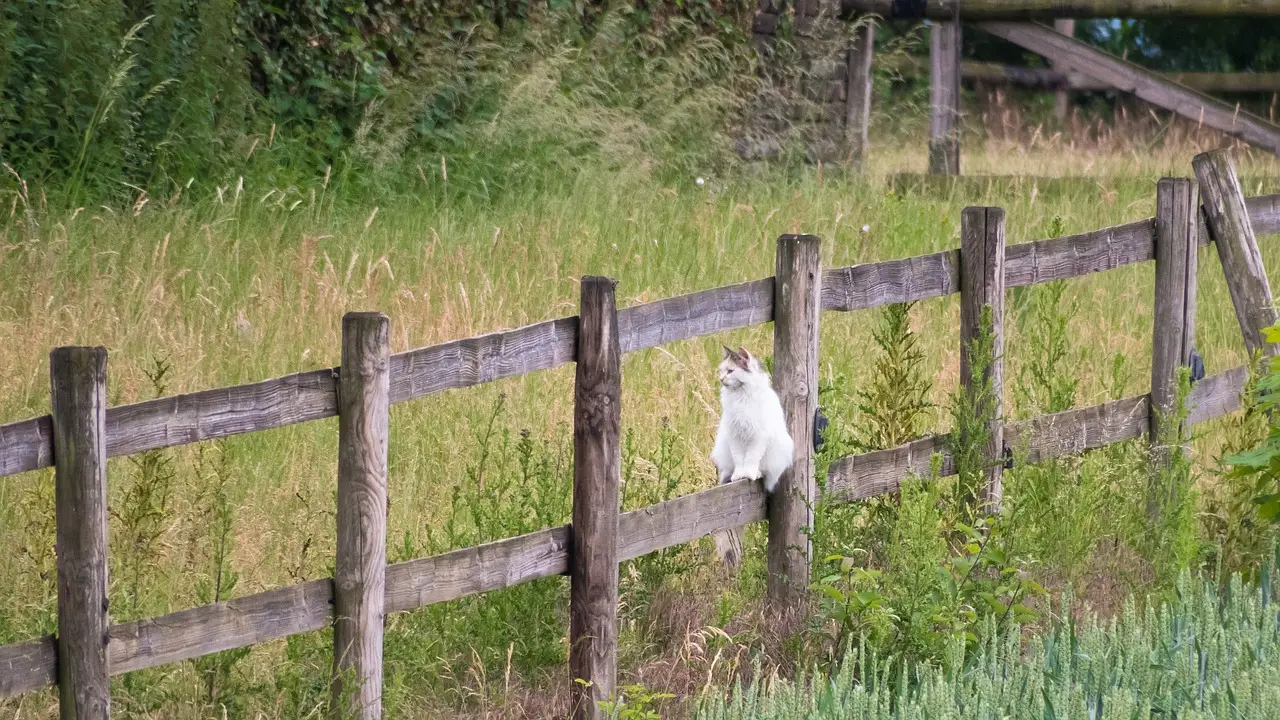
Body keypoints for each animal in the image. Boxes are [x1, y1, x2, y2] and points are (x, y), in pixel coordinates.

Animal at [711, 343, 788, 489]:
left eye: (730, 371)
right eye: (721, 371)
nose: (721, 379)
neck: (741, 396)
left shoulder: (758, 436)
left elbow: (751, 458)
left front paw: (749, 474)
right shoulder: (735, 435)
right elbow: (739, 459)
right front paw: (739, 475)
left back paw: (757, 473)